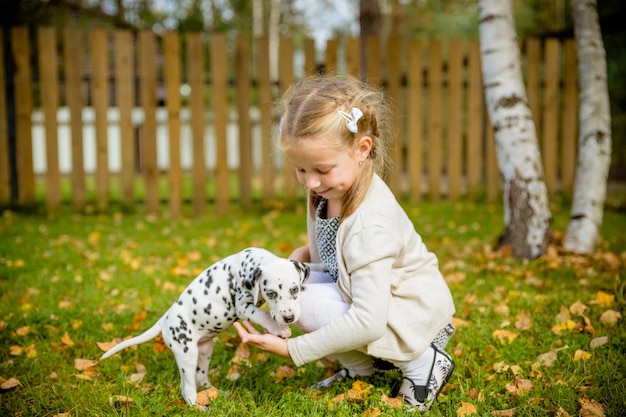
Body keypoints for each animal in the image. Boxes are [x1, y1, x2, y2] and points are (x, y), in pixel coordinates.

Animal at [98, 247, 310, 406]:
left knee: (201, 379)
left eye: (295, 289)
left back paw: (215, 393)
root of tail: (165, 319)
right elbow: (263, 314)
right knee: (188, 388)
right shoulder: (243, 306)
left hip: (205, 349)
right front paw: (278, 328)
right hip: (186, 353)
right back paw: (197, 406)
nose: (289, 317)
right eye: (271, 293)